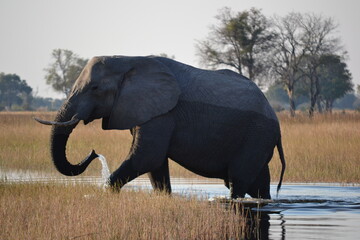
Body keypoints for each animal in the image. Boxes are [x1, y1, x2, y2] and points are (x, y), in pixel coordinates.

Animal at [35, 55, 286, 199]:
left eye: (95, 88)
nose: (94, 152)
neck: (129, 59)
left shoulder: (163, 113)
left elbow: (146, 157)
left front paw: (103, 193)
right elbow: (155, 165)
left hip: (257, 134)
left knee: (238, 181)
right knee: (258, 183)